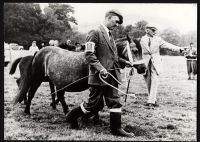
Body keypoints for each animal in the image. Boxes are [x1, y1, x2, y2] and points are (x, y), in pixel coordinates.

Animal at [13, 35, 146, 115]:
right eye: (135, 51)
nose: (143, 68)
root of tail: (38, 52)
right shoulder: (95, 86)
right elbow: (95, 103)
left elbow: (98, 104)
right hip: (38, 79)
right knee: (31, 93)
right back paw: (27, 110)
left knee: (60, 96)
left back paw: (66, 111)